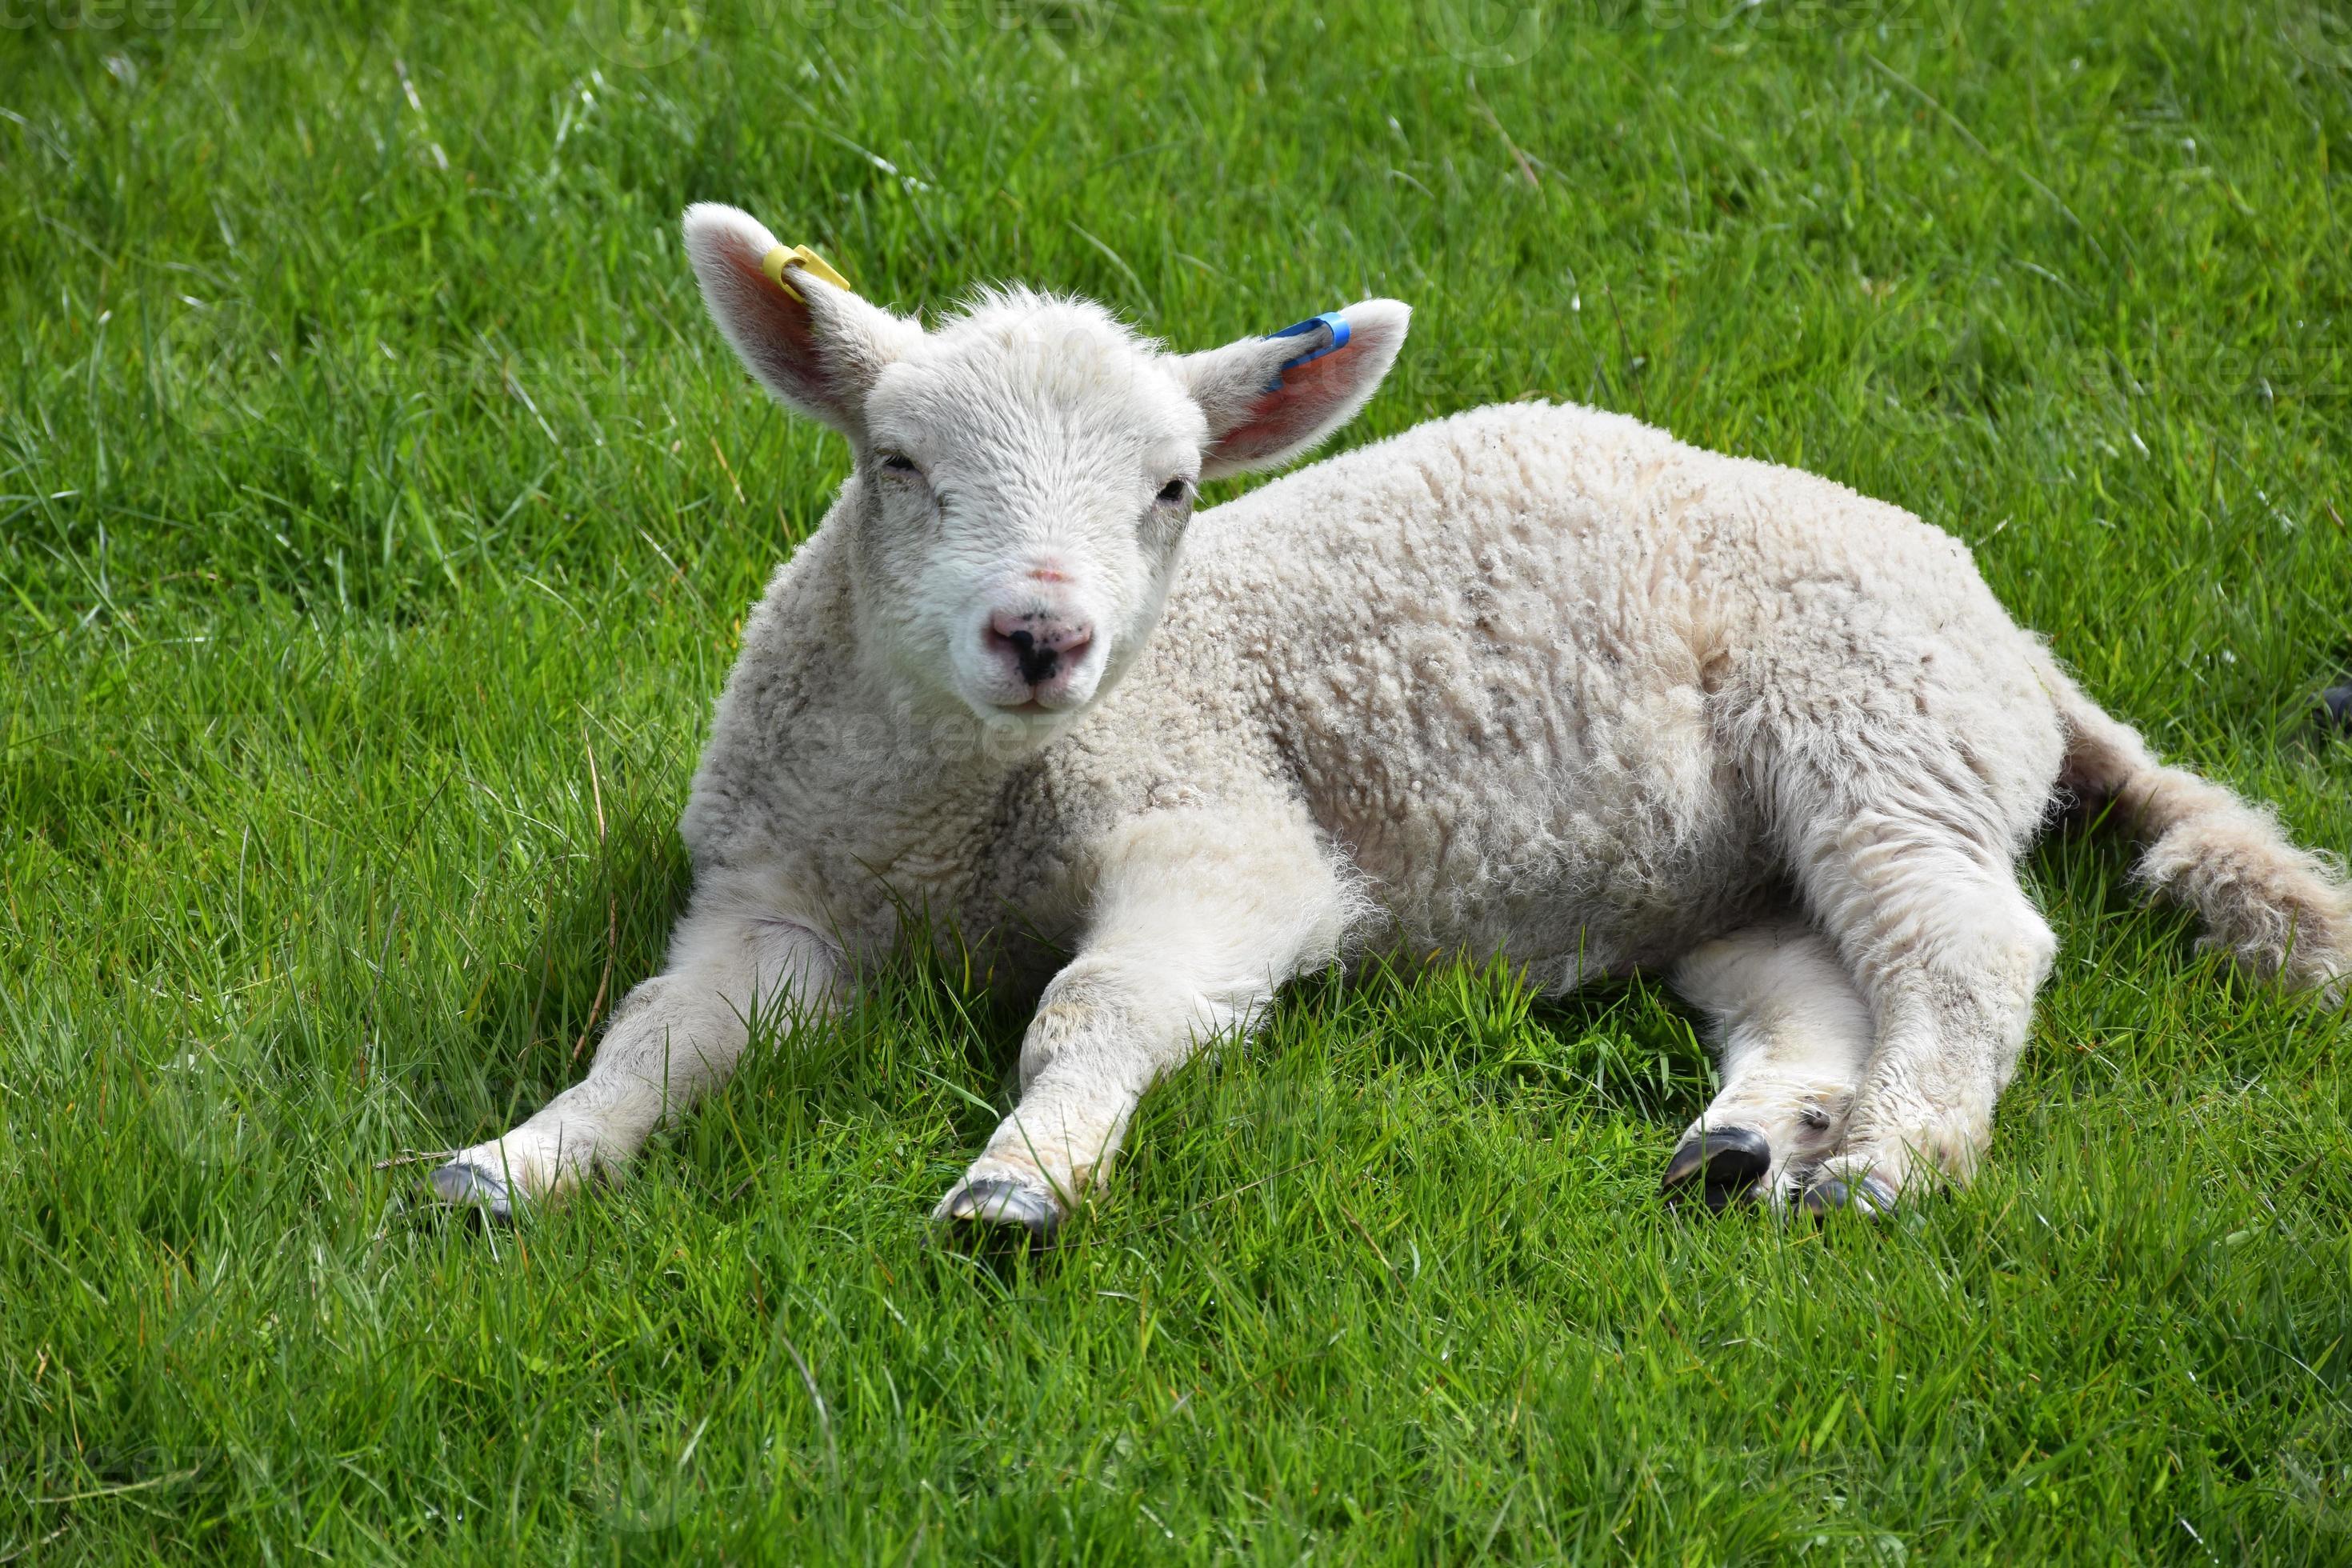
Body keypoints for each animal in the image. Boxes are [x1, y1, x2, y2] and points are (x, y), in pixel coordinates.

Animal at [431, 202, 2352, 1232]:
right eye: (894, 463)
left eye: (1175, 490)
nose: (1042, 633)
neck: (958, 812)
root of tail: (2014, 632)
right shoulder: (772, 887)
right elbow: (656, 1037)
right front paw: (516, 1163)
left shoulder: (1228, 833)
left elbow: (1099, 1002)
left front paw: (1018, 1183)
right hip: (1731, 856)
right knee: (1810, 980)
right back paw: (1747, 1138)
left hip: (1873, 714)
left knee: (1965, 944)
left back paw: (1890, 1160)